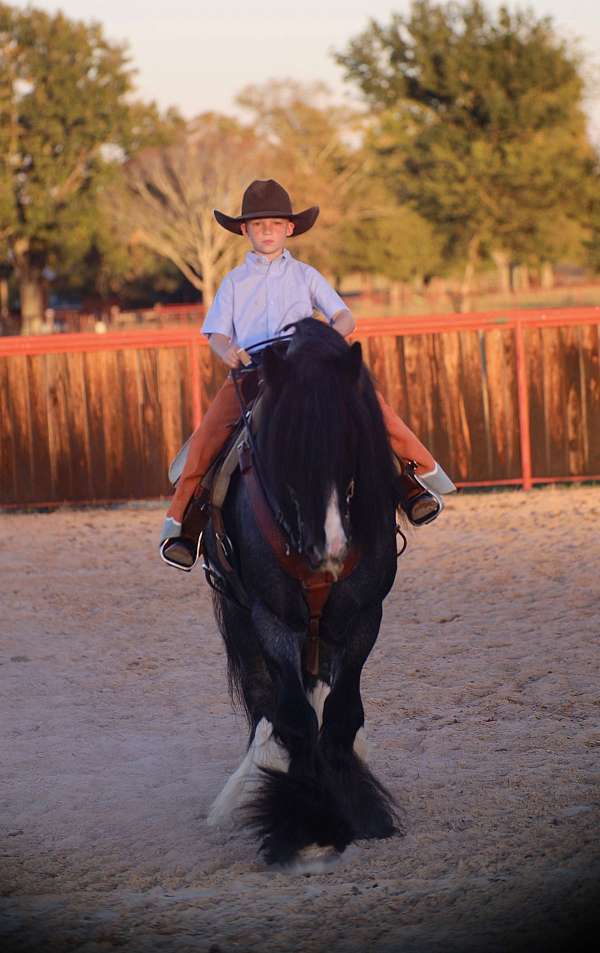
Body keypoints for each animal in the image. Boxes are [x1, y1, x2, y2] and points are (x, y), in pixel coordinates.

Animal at [203, 318, 401, 867]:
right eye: (285, 452)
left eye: (351, 441)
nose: (327, 546)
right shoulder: (272, 619)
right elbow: (292, 718)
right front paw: (306, 825)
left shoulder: (363, 615)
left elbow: (341, 715)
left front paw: (361, 811)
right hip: (240, 615)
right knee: (265, 702)